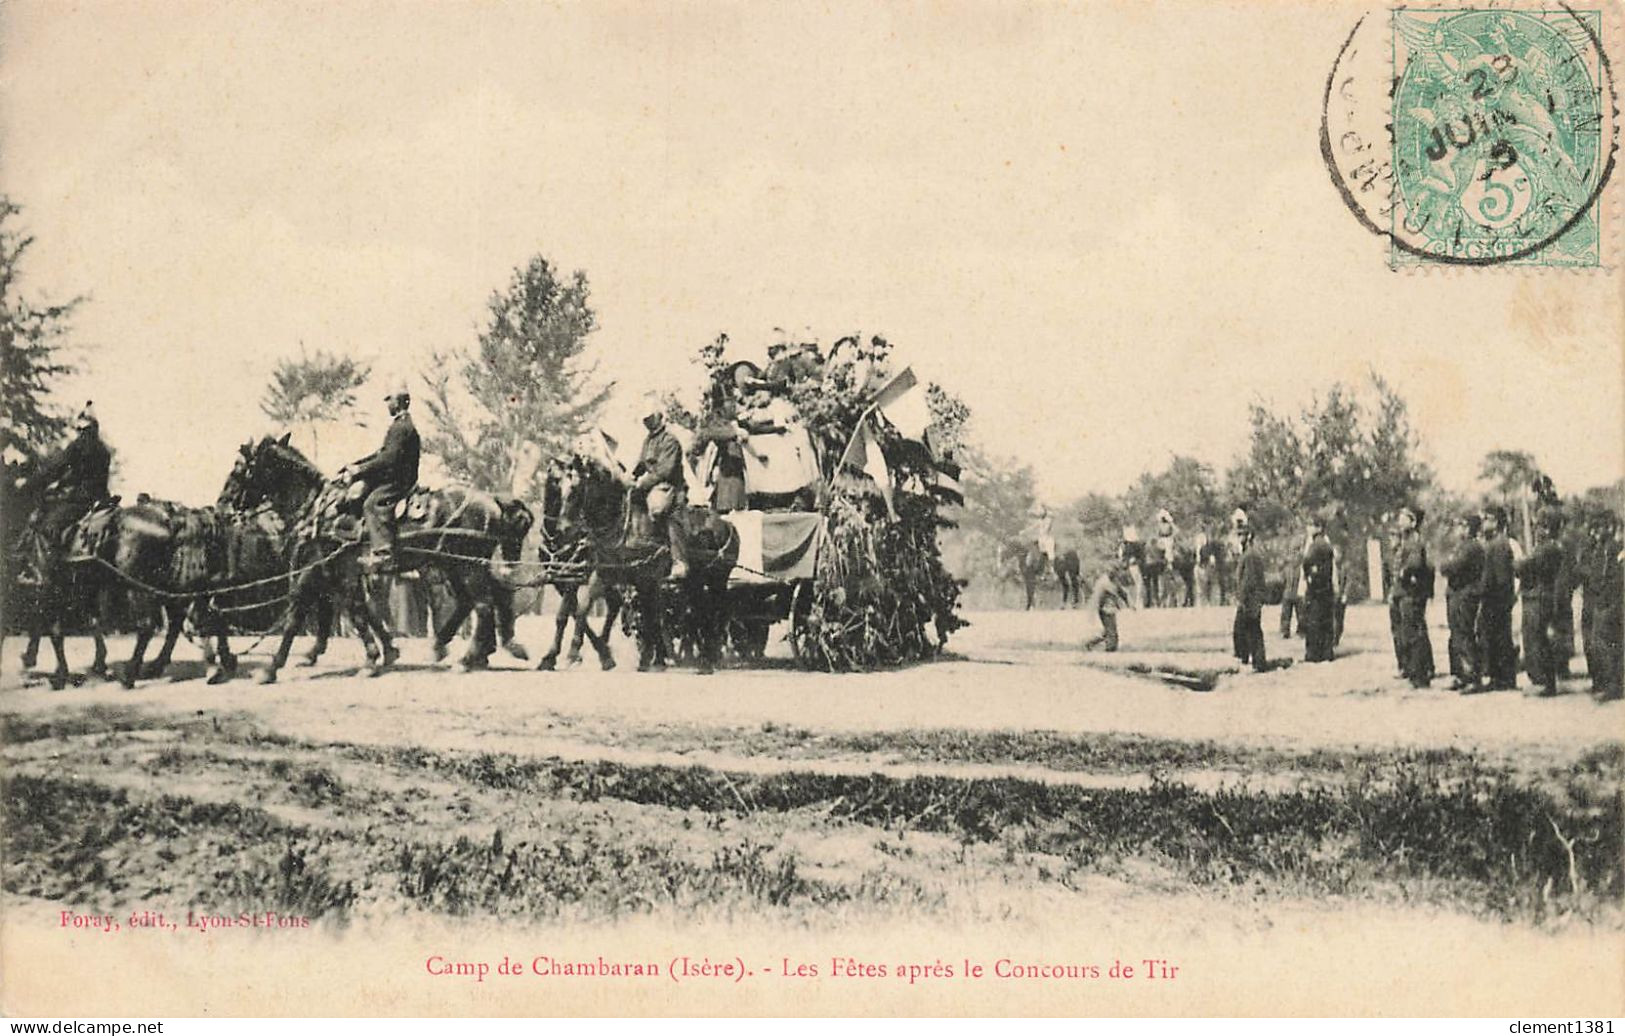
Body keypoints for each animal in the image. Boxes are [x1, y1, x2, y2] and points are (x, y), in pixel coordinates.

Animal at [216, 435, 529, 685]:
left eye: (239, 468)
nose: (222, 504)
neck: (320, 511)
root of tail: (491, 500)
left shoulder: (317, 571)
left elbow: (301, 616)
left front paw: (271, 668)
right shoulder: (340, 573)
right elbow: (360, 610)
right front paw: (384, 652)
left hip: (466, 566)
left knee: (483, 605)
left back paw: (468, 658)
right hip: (455, 564)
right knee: (479, 599)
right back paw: (468, 648)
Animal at [549, 454, 741, 675]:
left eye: (575, 490)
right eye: (559, 488)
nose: (562, 530)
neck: (625, 525)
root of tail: (727, 524)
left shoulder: (646, 578)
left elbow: (652, 618)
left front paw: (651, 658)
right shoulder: (608, 574)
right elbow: (583, 609)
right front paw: (573, 653)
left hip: (717, 580)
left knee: (715, 615)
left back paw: (708, 659)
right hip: (695, 583)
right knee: (699, 614)